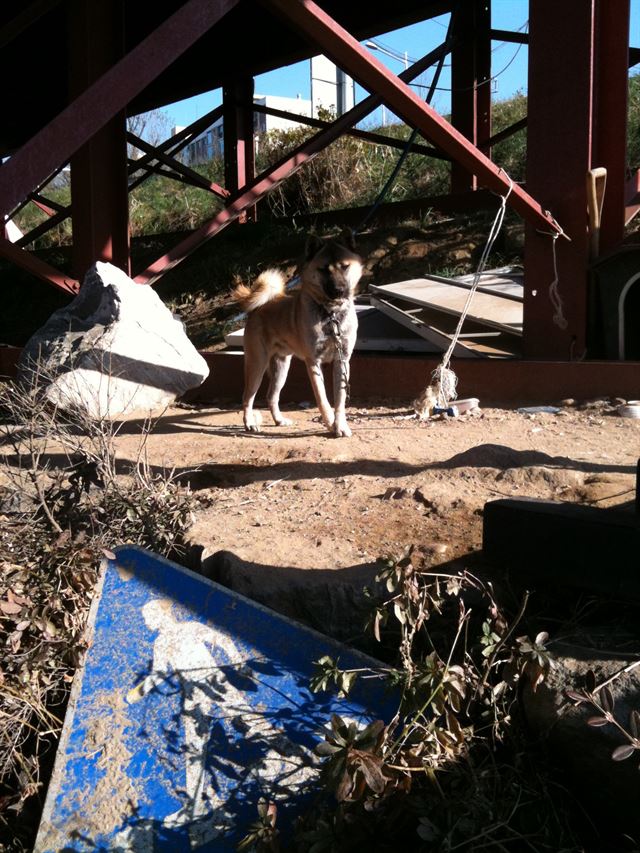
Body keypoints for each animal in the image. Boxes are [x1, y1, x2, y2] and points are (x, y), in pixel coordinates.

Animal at [232, 230, 362, 436]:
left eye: (345, 266)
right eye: (323, 269)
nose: (339, 290)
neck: (331, 313)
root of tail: (258, 308)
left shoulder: (342, 361)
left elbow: (340, 400)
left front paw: (340, 425)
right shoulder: (313, 362)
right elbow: (323, 399)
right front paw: (330, 423)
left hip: (281, 368)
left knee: (271, 396)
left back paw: (279, 420)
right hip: (257, 365)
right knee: (247, 397)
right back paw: (249, 423)